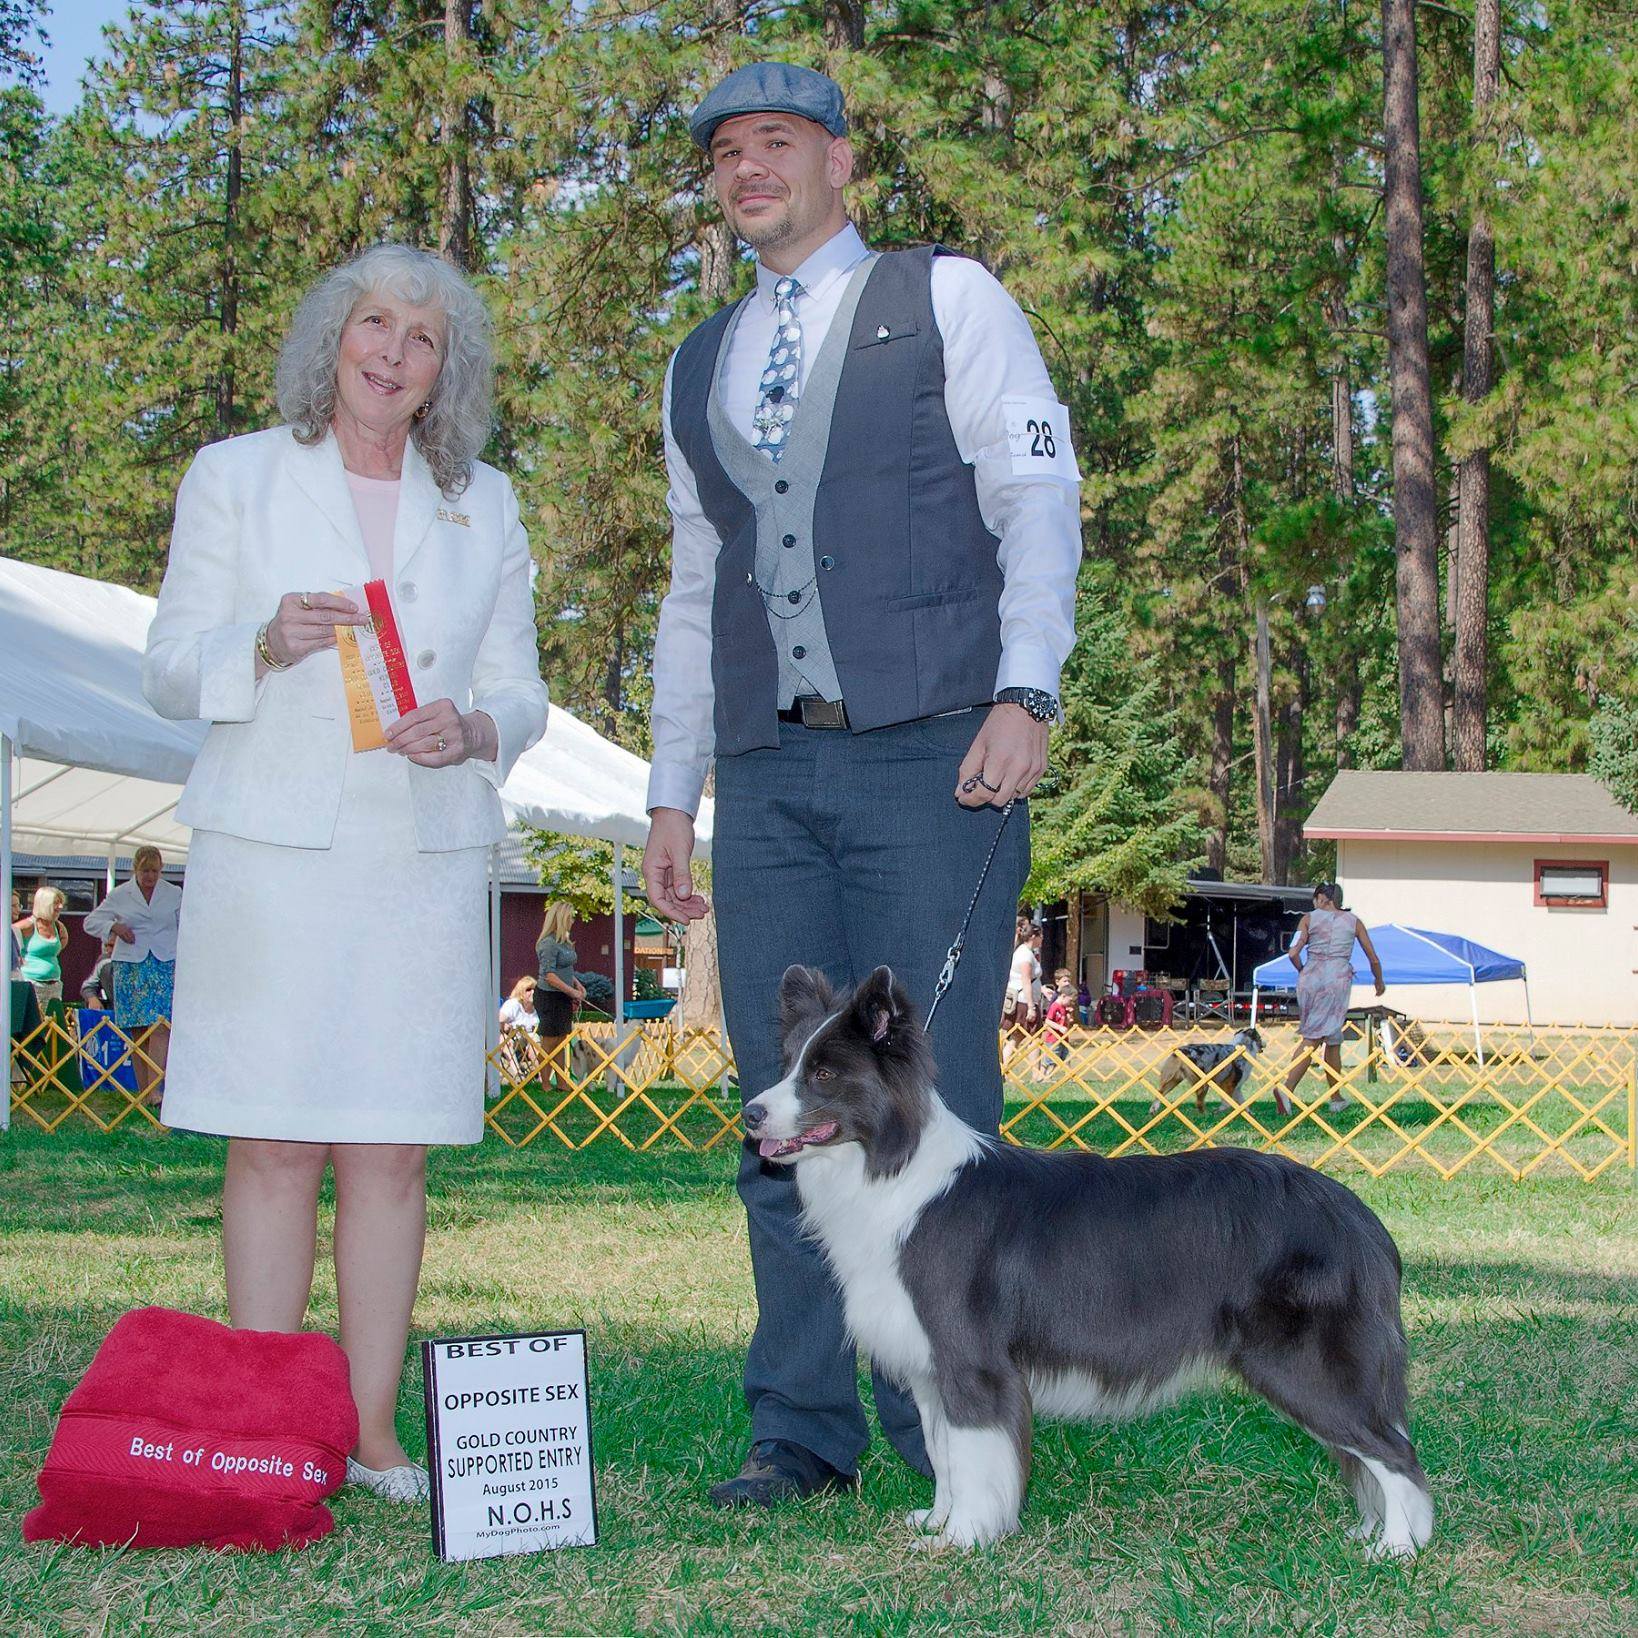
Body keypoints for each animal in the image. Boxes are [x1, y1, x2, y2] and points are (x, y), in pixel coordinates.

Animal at [743, 963, 1434, 1552]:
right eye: (787, 1063)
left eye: (825, 1074)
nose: (750, 1114)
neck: (890, 1169)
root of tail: (1359, 1218)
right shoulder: (930, 1366)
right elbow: (943, 1454)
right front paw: (937, 1524)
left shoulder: (972, 1359)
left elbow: (974, 1457)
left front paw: (966, 1539)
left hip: (1305, 1364)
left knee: (1394, 1452)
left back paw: (1397, 1547)